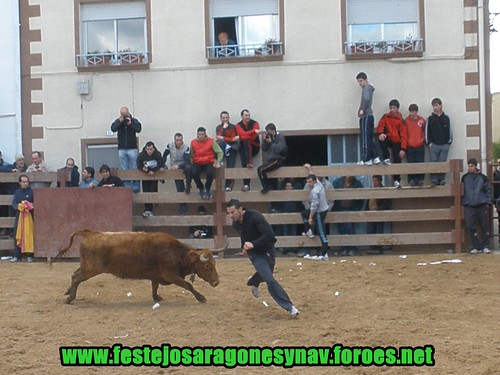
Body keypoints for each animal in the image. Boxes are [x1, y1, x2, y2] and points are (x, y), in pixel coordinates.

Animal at [52, 229, 221, 306]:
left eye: (214, 264)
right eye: (207, 265)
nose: (216, 282)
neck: (176, 253)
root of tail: (91, 234)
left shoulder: (156, 276)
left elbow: (154, 286)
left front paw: (156, 297)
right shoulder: (170, 275)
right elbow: (188, 285)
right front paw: (201, 298)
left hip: (86, 266)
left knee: (74, 275)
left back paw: (68, 292)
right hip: (91, 269)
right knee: (76, 277)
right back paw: (70, 298)